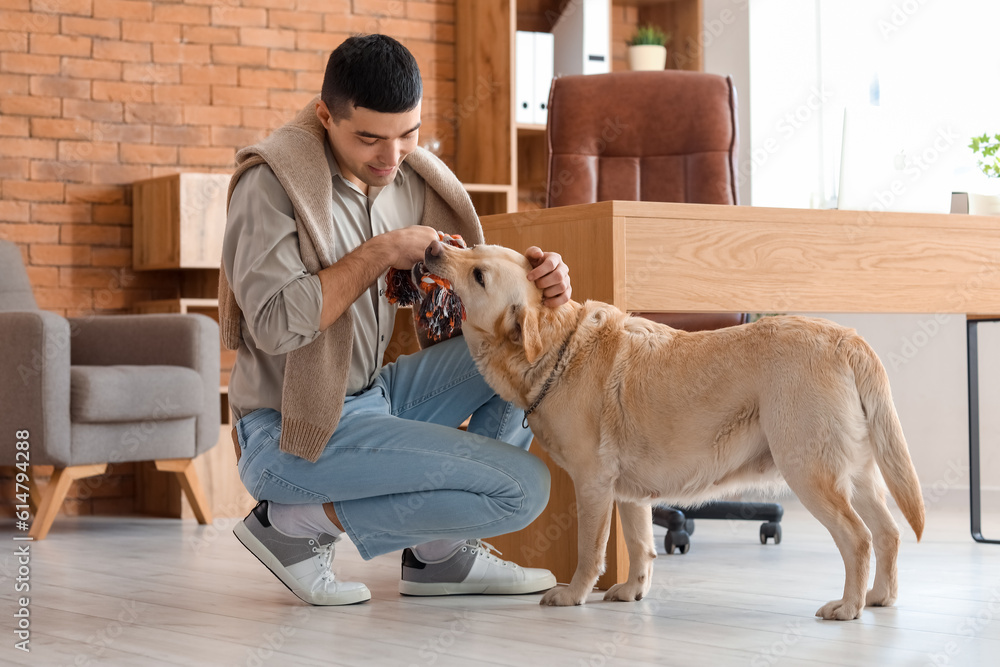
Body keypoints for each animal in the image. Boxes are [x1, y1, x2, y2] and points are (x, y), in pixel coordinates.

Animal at [422, 240, 920, 620]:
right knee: (888, 533)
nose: (431, 248)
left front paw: (575, 594)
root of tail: (845, 338)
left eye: (479, 275)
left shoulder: (593, 483)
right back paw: (879, 597)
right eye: (471, 248)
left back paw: (848, 607)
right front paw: (631, 591)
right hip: (857, 472)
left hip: (808, 470)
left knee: (858, 538)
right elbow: (641, 543)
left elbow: (590, 550)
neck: (558, 347)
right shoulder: (627, 491)